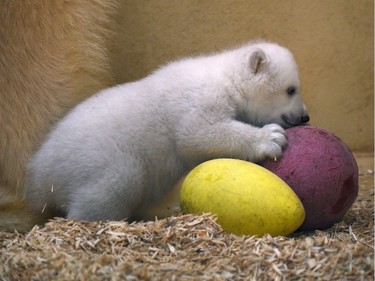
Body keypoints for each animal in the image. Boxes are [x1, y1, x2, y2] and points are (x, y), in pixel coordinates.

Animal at [25, 41, 310, 221]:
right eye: (291, 90)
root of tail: (39, 174)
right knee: (116, 182)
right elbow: (197, 134)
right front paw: (271, 137)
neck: (226, 79)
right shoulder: (199, 99)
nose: (305, 116)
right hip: (94, 156)